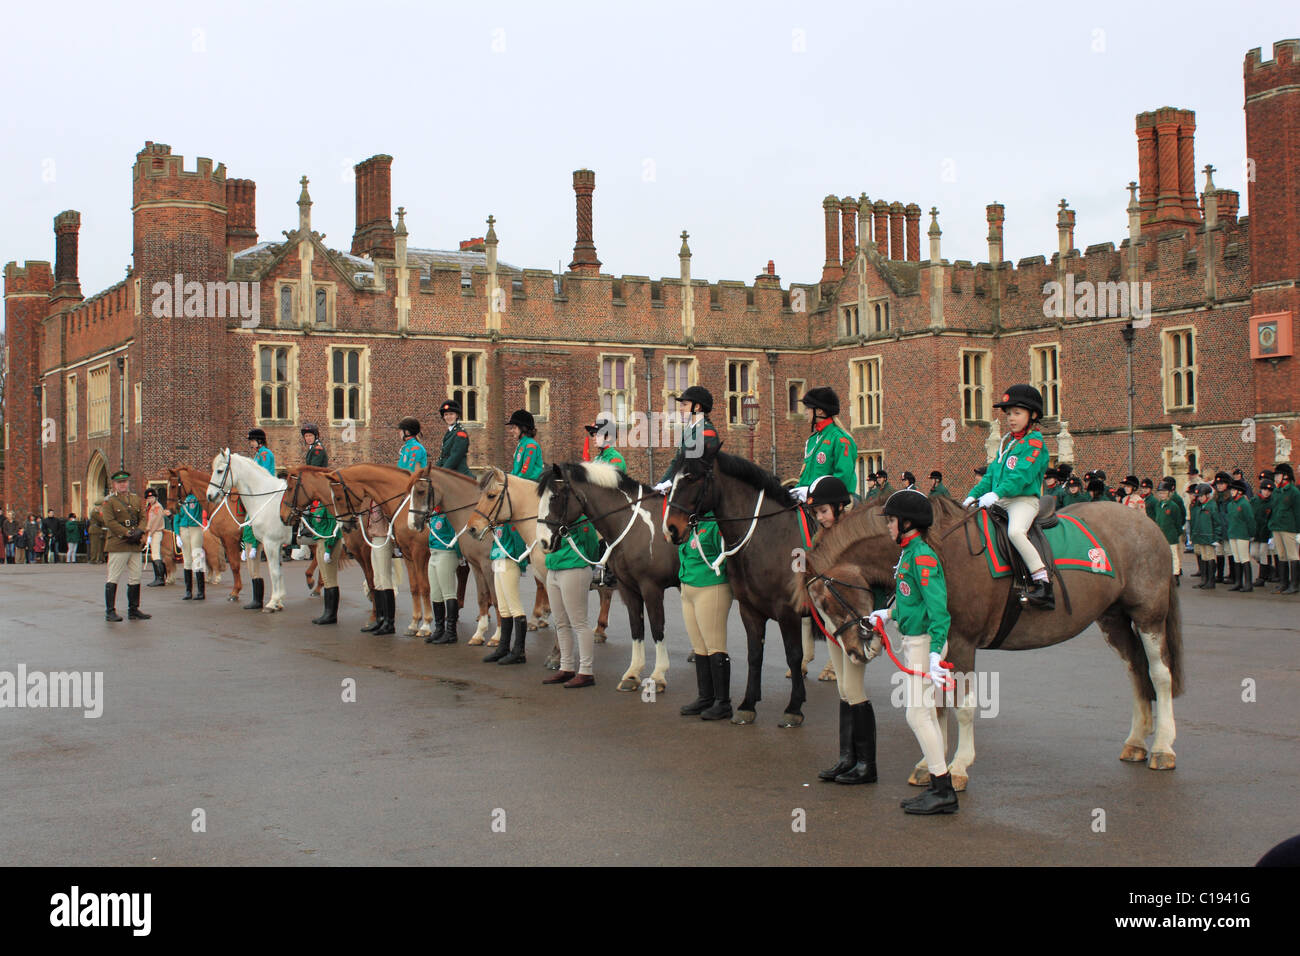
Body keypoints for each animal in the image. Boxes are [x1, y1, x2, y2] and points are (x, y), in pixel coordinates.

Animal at [208, 447, 292, 613]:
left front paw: (272, 602)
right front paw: (278, 601)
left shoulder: (269, 543)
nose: (210, 495)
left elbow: (273, 571)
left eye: (219, 471)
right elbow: (277, 572)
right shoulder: (275, 544)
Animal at [319, 463, 436, 634]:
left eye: (338, 497)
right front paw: (414, 623)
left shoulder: (419, 553)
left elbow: (425, 586)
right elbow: (414, 587)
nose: (344, 526)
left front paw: (426, 625)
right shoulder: (407, 554)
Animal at [538, 463, 681, 691]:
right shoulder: (628, 587)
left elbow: (657, 628)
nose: (543, 541)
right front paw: (632, 674)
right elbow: (637, 627)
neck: (634, 525)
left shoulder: (652, 588)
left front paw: (658, 676)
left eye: (555, 496)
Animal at [660, 452, 811, 728]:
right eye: (673, 477)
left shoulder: (788, 612)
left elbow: (793, 654)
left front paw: (794, 707)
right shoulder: (749, 610)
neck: (767, 537)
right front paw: (747, 705)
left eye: (692, 477)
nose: (671, 529)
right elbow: (754, 655)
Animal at [795, 494, 1185, 790]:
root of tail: (1144, 521)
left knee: (1159, 674)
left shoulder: (962, 643)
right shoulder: (940, 646)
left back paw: (1163, 747)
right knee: (1136, 671)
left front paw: (957, 767)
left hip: (1148, 617)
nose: (855, 652)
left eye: (829, 601)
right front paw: (930, 764)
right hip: (1114, 619)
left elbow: (964, 708)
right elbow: (939, 708)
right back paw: (1136, 742)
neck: (938, 550)